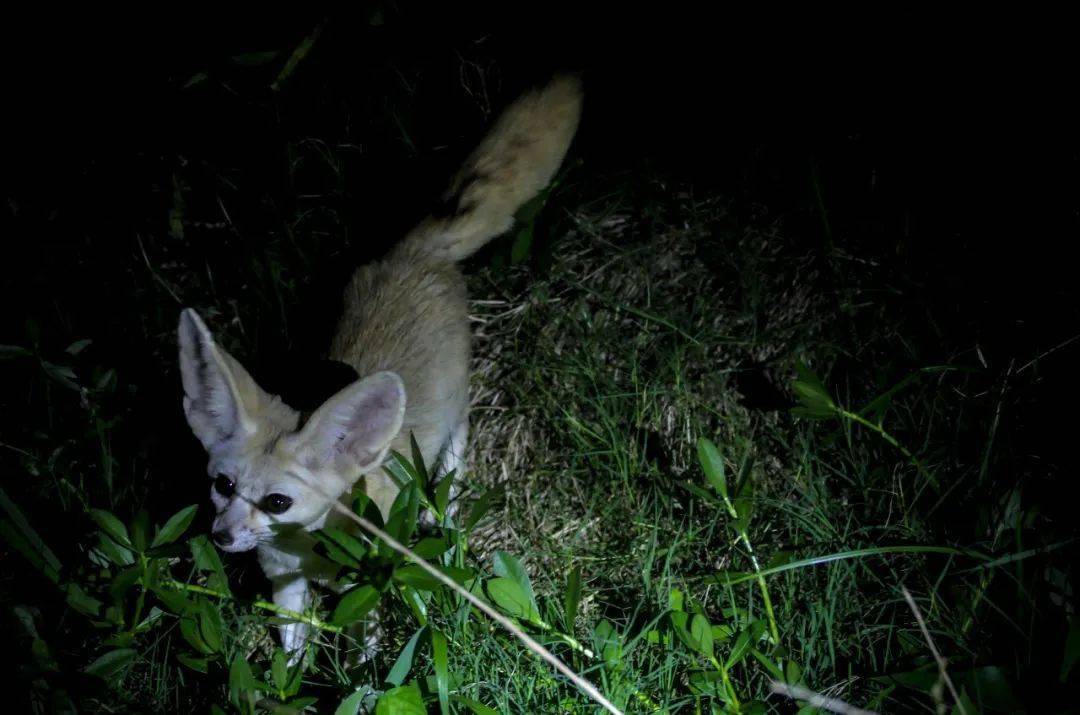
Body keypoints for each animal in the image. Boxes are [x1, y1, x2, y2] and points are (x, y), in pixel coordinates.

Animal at [177, 75, 583, 665]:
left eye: (278, 502)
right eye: (223, 484)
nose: (222, 538)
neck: (308, 551)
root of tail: (414, 252)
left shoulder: (365, 585)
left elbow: (364, 653)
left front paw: (363, 679)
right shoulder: (285, 585)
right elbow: (291, 650)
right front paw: (287, 676)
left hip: (455, 411)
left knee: (457, 444)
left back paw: (444, 510)